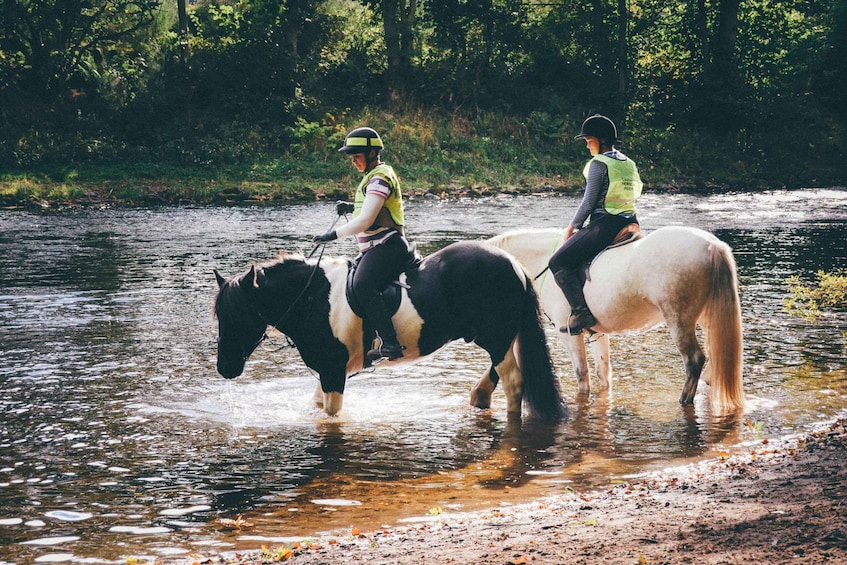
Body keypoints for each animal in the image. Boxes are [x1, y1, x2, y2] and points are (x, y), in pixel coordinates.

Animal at [213, 241, 567, 422]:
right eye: (220, 316)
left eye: (240, 314)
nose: (225, 368)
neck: (314, 298)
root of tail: (512, 263)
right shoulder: (331, 371)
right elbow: (316, 406)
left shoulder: (333, 372)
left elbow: (332, 415)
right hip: (497, 337)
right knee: (496, 376)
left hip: (496, 336)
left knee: (514, 383)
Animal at [487, 226, 744, 411]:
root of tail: (712, 246)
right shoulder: (598, 334)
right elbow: (603, 373)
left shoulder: (568, 334)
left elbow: (582, 375)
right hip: (705, 316)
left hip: (678, 318)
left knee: (694, 360)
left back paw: (683, 400)